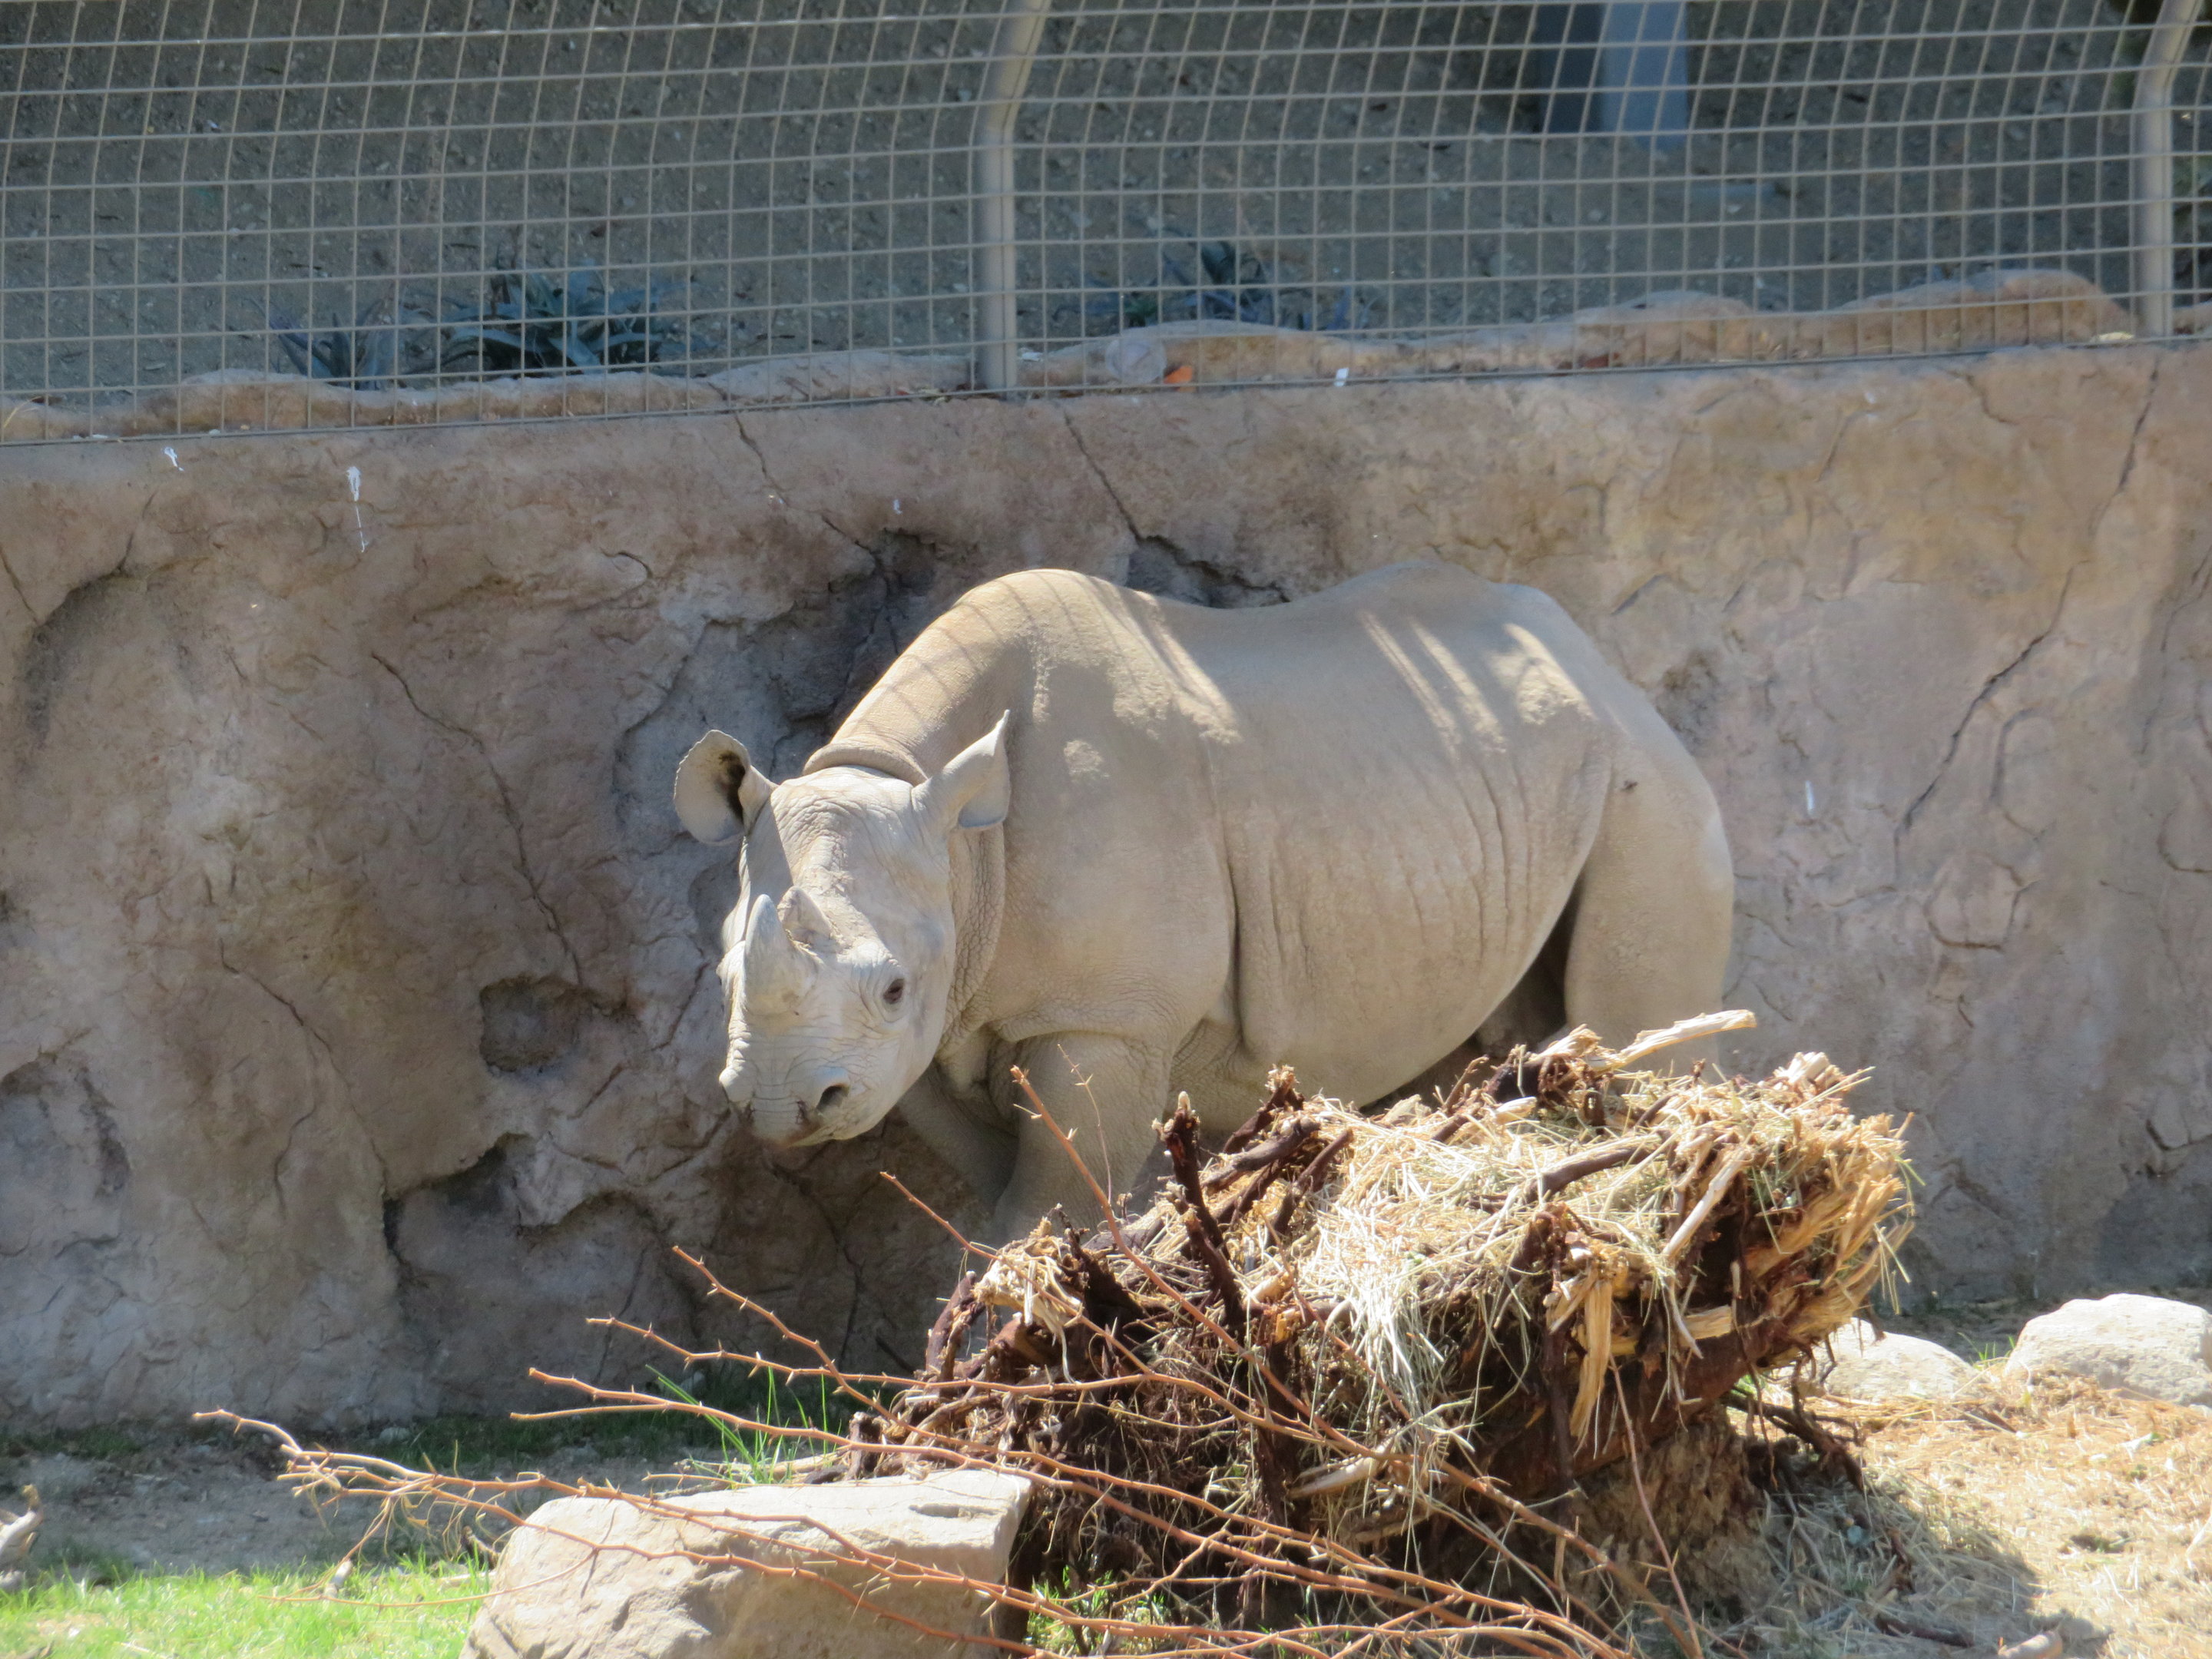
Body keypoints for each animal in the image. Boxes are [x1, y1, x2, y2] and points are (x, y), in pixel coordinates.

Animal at [674, 561, 1731, 1237]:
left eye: (891, 987)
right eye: (723, 975)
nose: (779, 1105)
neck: (954, 834)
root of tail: (1596, 662)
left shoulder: (1103, 1018)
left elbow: (1048, 1204)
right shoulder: (938, 1027)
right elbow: (989, 1208)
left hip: (1646, 783)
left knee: (1626, 1027)